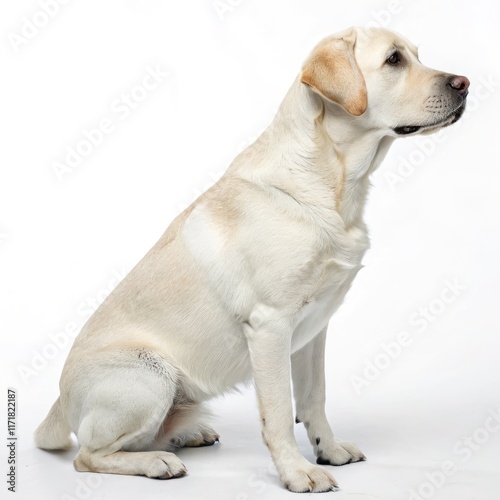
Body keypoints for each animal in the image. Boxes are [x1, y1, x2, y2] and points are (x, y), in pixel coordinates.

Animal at [35, 26, 468, 492]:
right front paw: (298, 473)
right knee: (89, 455)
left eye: (417, 56)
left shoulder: (314, 330)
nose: (464, 83)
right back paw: (157, 462)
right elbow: (278, 413)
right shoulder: (270, 325)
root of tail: (57, 403)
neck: (329, 184)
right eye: (393, 60)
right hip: (150, 374)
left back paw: (186, 435)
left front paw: (329, 450)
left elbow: (314, 397)